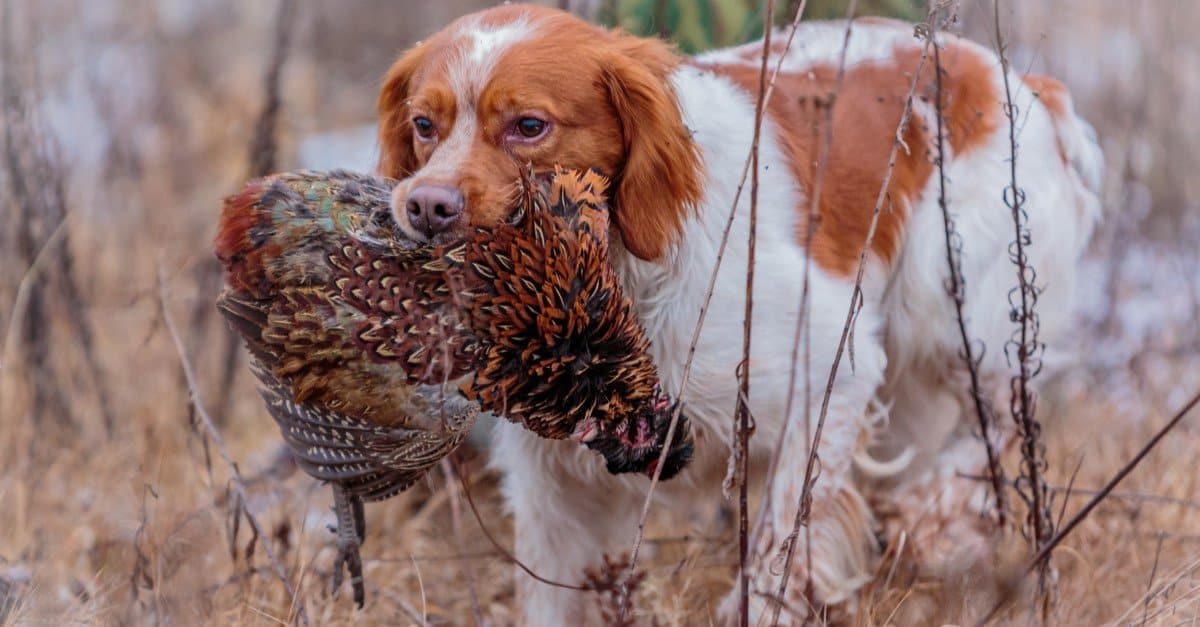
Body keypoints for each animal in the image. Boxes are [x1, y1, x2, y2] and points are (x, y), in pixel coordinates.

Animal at [369, 4, 1099, 619]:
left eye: (529, 126)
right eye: (423, 125)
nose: (426, 207)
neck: (621, 274)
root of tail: (1010, 78)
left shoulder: (829, 375)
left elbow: (785, 539)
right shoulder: (553, 483)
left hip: (958, 315)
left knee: (995, 425)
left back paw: (934, 517)